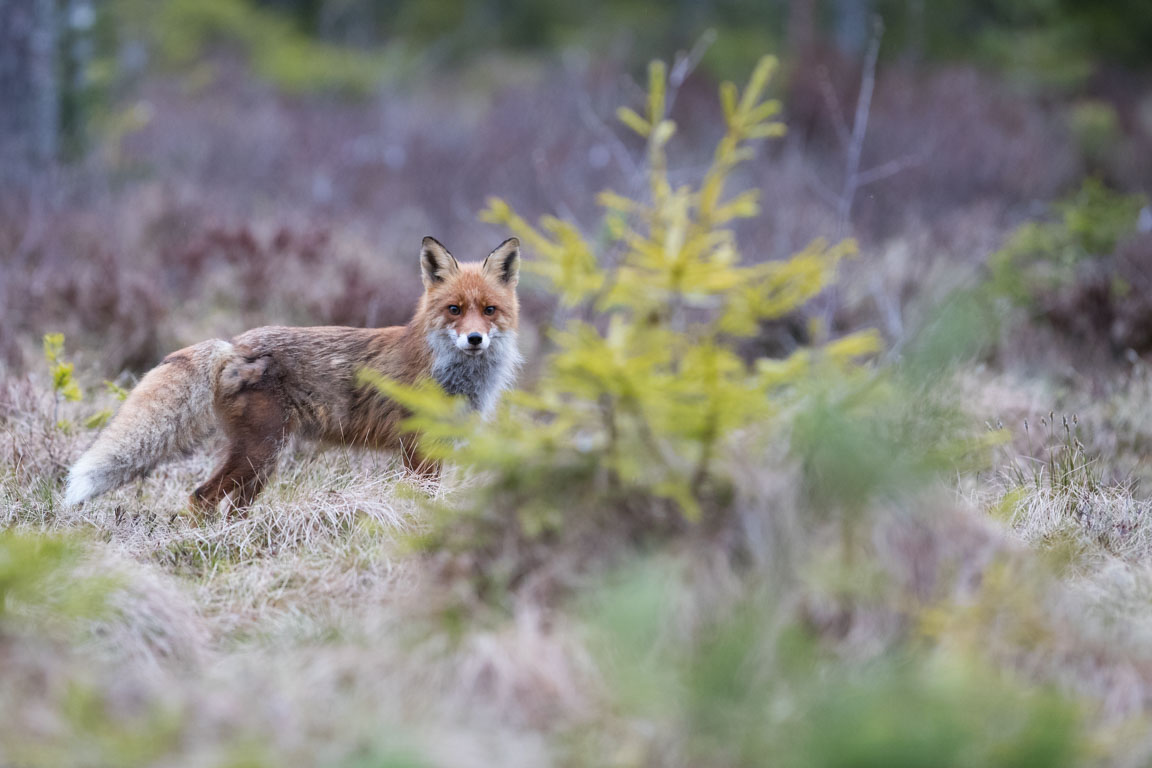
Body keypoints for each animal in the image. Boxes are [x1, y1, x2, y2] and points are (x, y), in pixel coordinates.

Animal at [65, 236, 525, 515]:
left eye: (489, 310)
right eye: (454, 309)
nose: (474, 339)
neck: (452, 375)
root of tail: (233, 344)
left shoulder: (436, 448)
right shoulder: (417, 449)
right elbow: (423, 500)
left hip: (262, 465)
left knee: (230, 508)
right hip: (260, 453)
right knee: (200, 498)